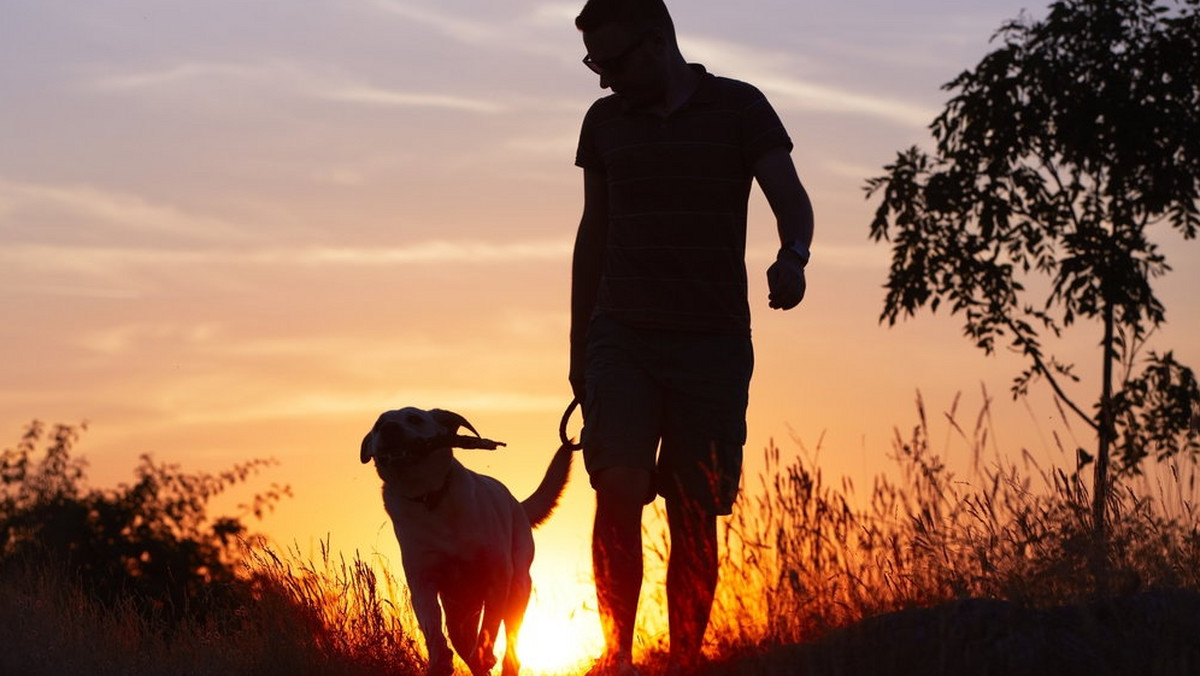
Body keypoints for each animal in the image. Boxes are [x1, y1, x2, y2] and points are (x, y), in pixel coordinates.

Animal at [357, 408, 573, 676]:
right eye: (378, 425)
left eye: (415, 418)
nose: (389, 429)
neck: (431, 498)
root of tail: (518, 505)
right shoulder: (422, 580)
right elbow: (431, 624)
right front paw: (441, 659)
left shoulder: (497, 577)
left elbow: (490, 624)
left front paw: (484, 652)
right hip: (459, 611)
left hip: (518, 588)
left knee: (510, 642)